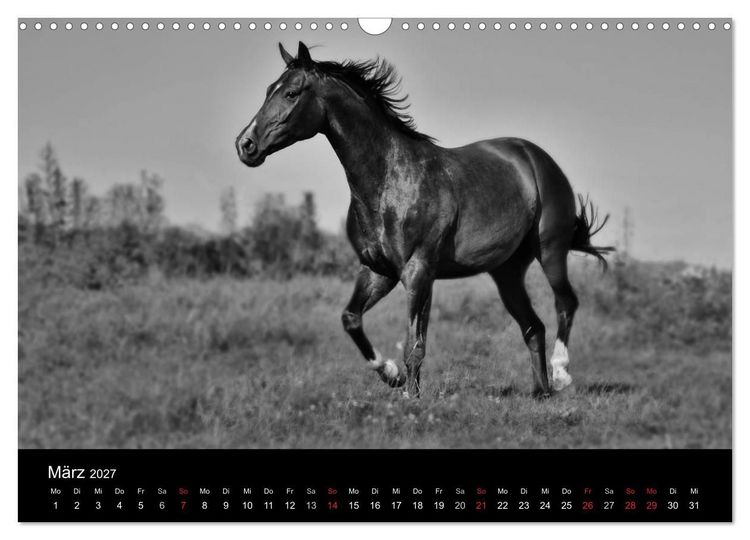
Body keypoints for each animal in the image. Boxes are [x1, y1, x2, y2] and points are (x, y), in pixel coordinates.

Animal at [236, 42, 612, 398]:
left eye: (291, 93)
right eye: (269, 89)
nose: (246, 145)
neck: (390, 181)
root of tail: (536, 158)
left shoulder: (418, 271)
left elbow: (414, 344)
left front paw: (410, 397)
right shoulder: (378, 271)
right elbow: (351, 319)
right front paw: (391, 375)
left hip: (551, 250)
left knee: (565, 303)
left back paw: (561, 375)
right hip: (506, 273)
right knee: (534, 327)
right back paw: (541, 392)